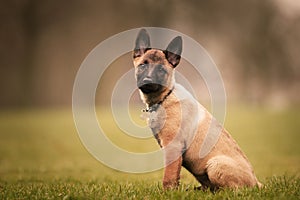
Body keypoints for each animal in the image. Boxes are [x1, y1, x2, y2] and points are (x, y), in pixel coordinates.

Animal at [132, 28, 262, 190]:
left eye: (161, 70)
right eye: (142, 65)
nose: (148, 81)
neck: (165, 97)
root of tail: (256, 182)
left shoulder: (173, 147)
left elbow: (169, 176)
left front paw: (168, 192)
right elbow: (175, 176)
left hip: (215, 165)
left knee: (232, 190)